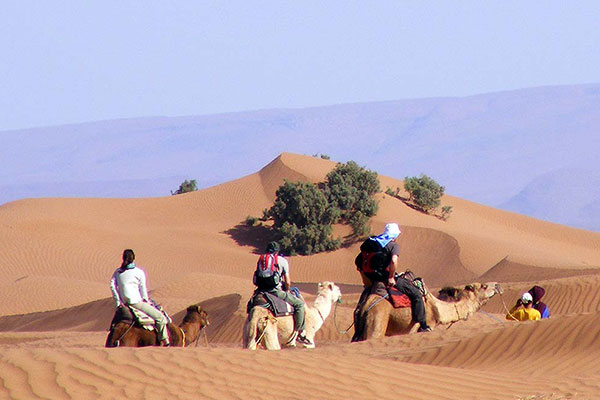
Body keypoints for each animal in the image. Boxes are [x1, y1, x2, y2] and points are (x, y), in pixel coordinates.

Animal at [354, 282, 504, 340]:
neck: (438, 308)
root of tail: (368, 303)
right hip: (377, 319)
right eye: (484, 286)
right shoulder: (421, 326)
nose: (498, 285)